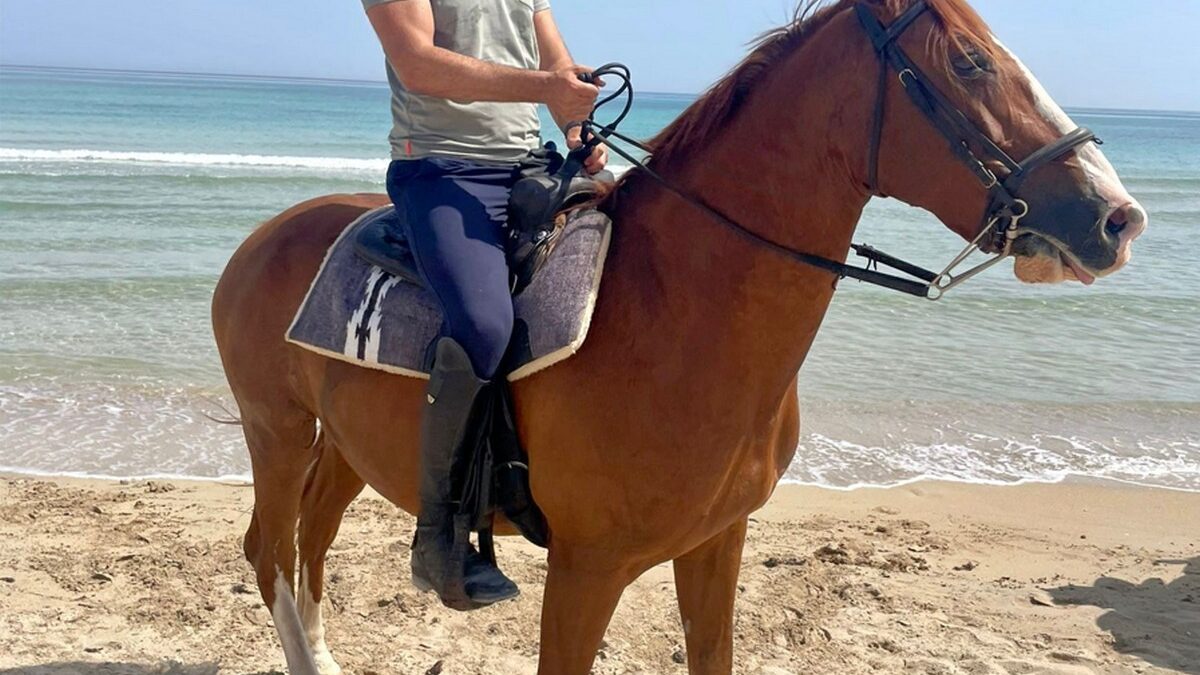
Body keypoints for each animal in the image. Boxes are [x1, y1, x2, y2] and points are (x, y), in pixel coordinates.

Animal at [212, 0, 1147, 672]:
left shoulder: (716, 545)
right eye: (971, 61)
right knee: (270, 553)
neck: (677, 315)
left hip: (347, 448)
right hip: (277, 431)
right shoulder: (584, 572)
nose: (1117, 216)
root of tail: (263, 237)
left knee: (310, 545)